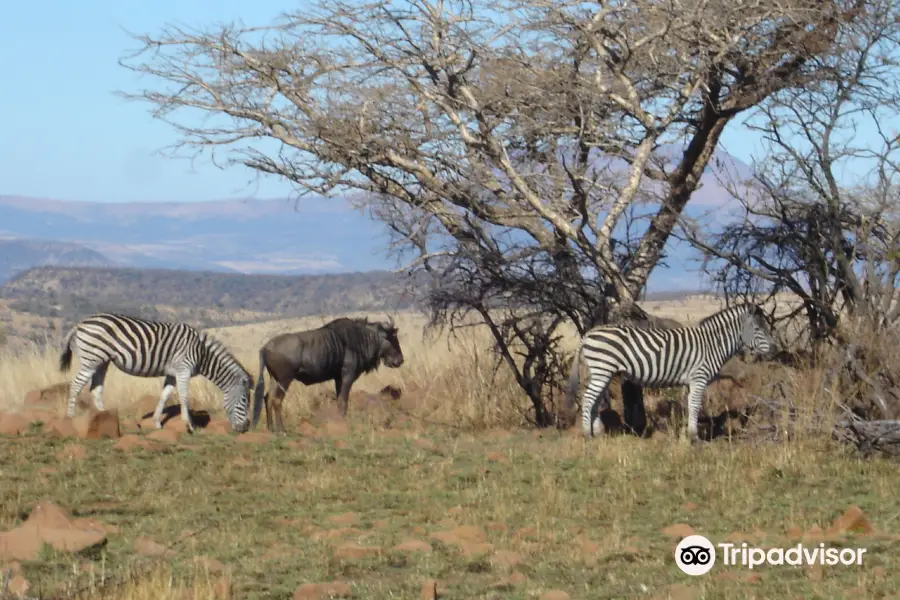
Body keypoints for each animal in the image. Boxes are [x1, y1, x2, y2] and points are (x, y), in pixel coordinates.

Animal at [58, 312, 253, 434]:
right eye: (244, 400)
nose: (244, 429)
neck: (202, 354)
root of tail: (79, 324)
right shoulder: (183, 370)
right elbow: (184, 397)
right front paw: (189, 424)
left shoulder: (172, 373)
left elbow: (164, 396)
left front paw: (157, 422)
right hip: (91, 359)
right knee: (76, 384)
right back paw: (70, 417)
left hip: (102, 361)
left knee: (96, 388)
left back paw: (106, 418)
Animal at [568, 304, 772, 440]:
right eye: (757, 328)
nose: (773, 348)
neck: (711, 344)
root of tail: (589, 333)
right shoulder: (699, 377)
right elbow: (695, 405)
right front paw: (695, 438)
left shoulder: (690, 381)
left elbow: (690, 405)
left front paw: (686, 434)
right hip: (602, 369)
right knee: (588, 399)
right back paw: (588, 435)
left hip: (604, 372)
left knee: (595, 401)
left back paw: (598, 434)